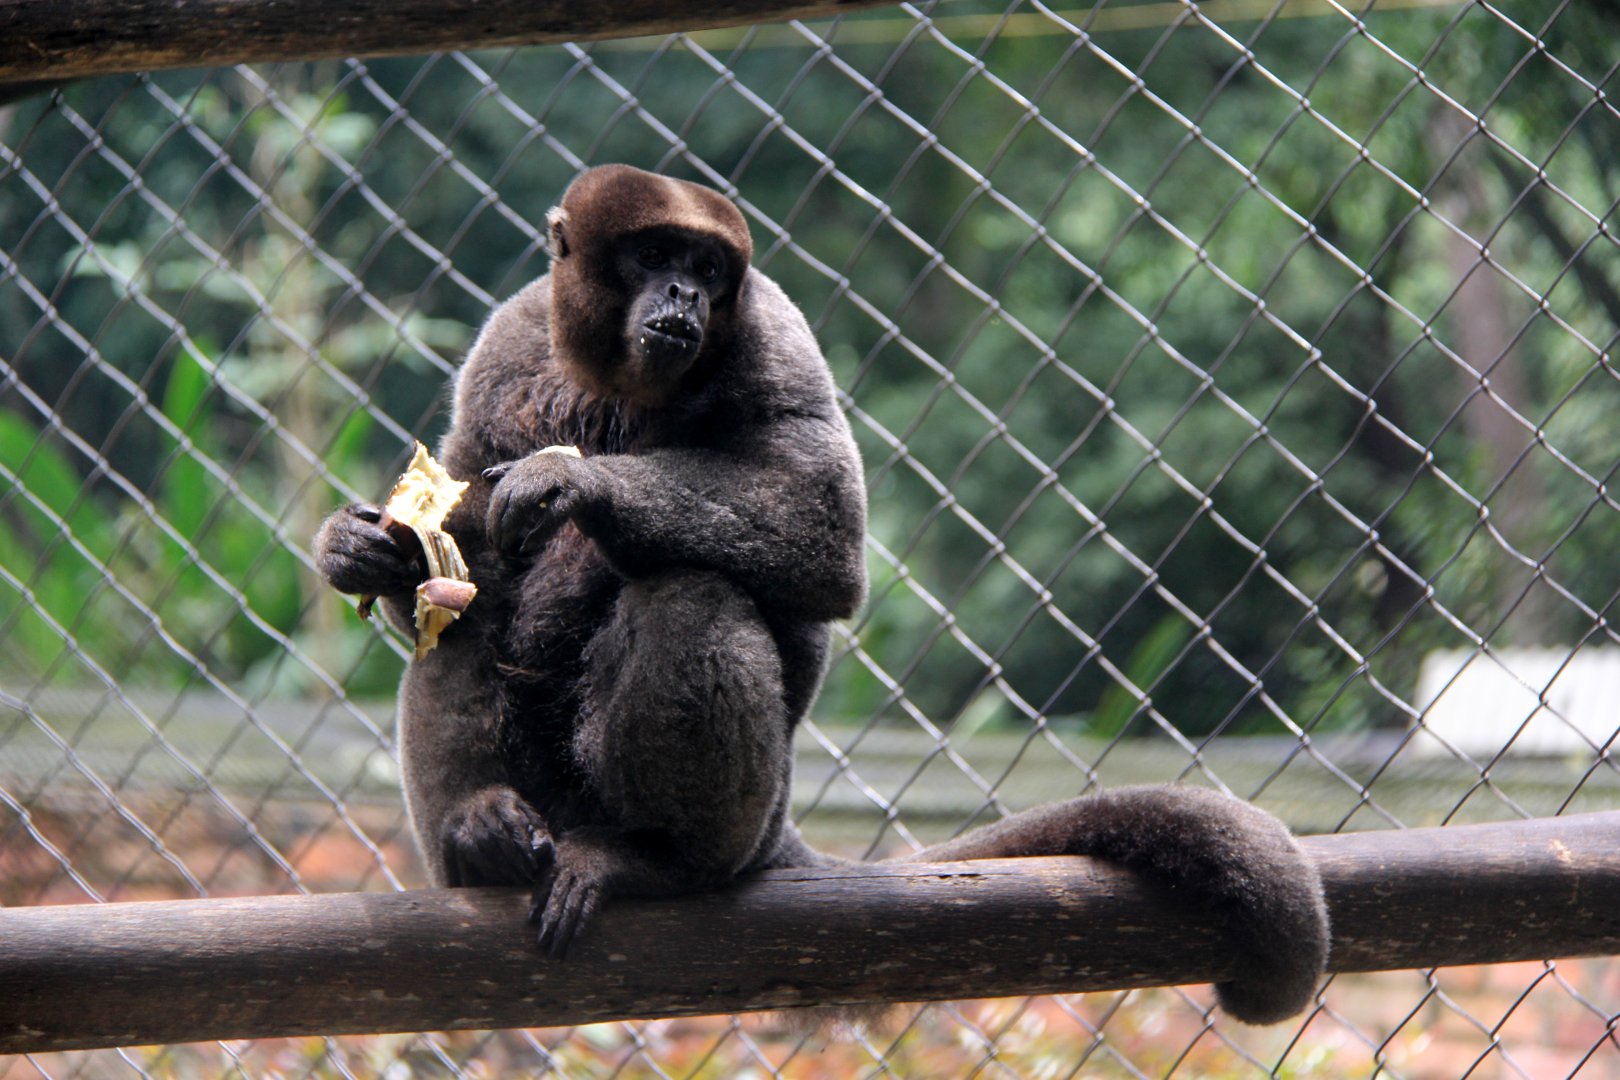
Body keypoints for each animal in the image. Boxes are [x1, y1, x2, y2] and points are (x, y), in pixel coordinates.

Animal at [314, 163, 1329, 1026]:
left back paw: (656, 860)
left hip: (746, 816)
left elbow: (823, 529)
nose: (683, 297)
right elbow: (465, 565)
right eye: (653, 257)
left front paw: (576, 482)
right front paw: (365, 550)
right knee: (465, 631)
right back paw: (477, 833)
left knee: (688, 593)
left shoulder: (773, 334)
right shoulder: (509, 341)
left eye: (706, 268)